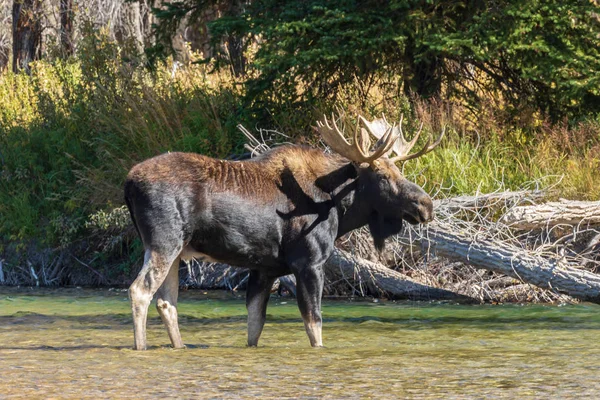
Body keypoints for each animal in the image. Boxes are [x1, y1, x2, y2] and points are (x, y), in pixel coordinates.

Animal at [124, 111, 442, 348]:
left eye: (400, 171)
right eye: (382, 175)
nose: (426, 204)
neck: (338, 206)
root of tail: (127, 183)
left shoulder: (264, 268)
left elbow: (255, 327)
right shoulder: (309, 262)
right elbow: (315, 325)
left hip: (175, 250)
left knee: (166, 302)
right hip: (164, 243)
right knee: (140, 290)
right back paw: (141, 348)